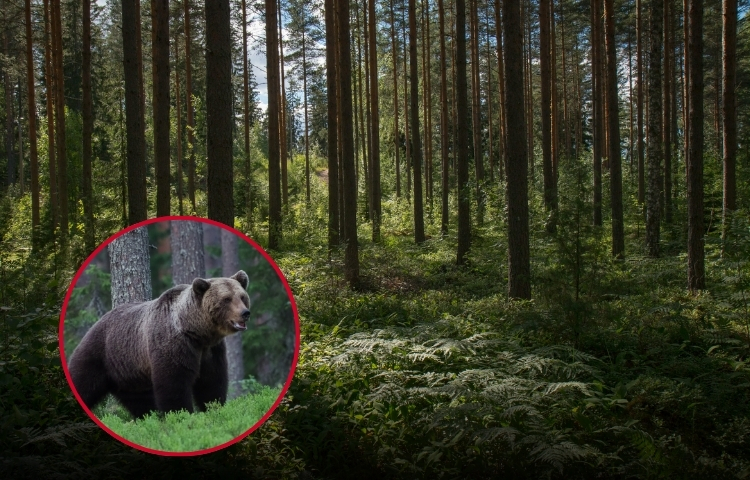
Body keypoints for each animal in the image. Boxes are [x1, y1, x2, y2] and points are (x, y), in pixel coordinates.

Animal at [67, 270, 251, 419]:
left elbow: (211, 383)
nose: (245, 313)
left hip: (128, 373)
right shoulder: (174, 344)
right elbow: (173, 384)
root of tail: (96, 323)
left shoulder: (211, 351)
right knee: (82, 381)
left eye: (242, 297)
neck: (197, 332)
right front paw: (181, 415)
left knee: (139, 401)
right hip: (100, 354)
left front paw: (213, 408)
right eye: (226, 299)